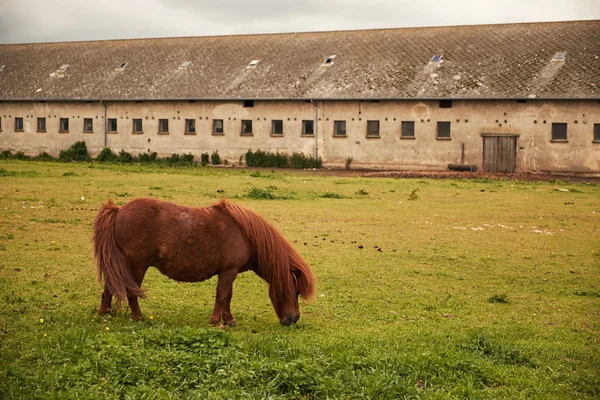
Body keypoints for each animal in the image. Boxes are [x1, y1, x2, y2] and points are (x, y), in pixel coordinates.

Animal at [92, 197, 316, 324]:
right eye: (294, 291)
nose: (293, 319)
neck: (246, 235)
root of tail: (118, 210)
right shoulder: (228, 271)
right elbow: (222, 296)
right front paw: (216, 321)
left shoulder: (229, 271)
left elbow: (228, 296)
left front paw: (229, 320)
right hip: (137, 266)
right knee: (131, 291)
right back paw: (138, 318)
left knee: (110, 287)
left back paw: (105, 313)